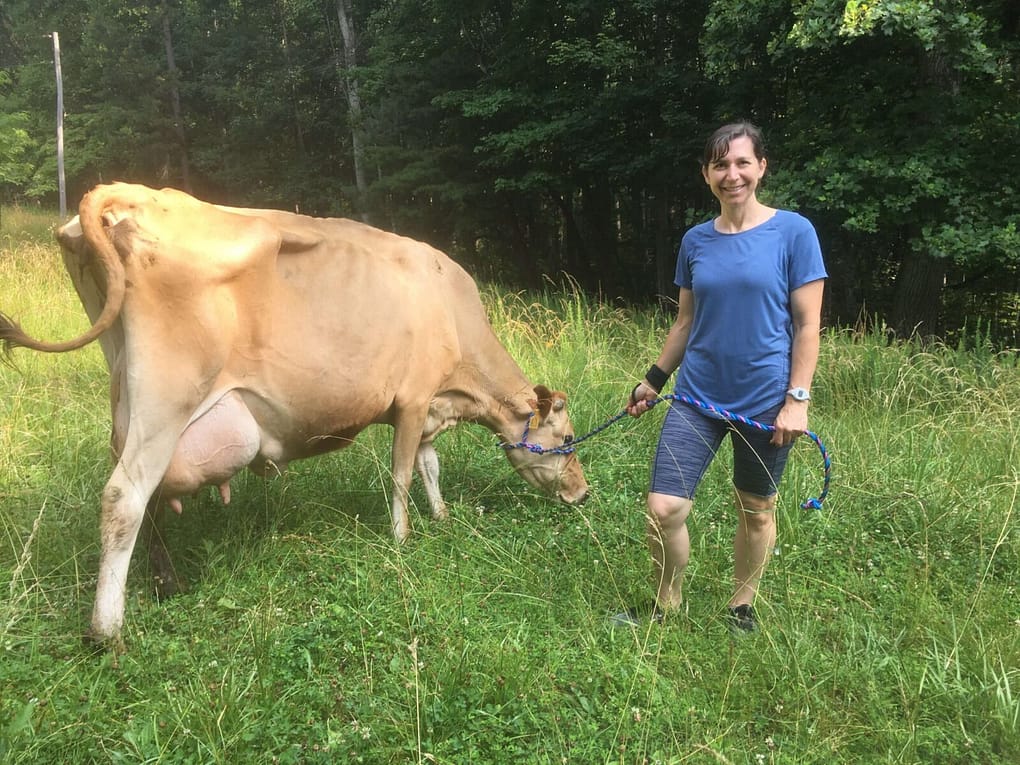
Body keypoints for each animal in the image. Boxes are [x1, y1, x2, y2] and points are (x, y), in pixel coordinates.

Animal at [0, 182, 588, 649]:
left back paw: (168, 585)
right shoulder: (414, 398)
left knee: (143, 496)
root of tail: (126, 192)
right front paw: (401, 539)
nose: (582, 493)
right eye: (566, 435)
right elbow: (402, 473)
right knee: (125, 496)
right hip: (167, 396)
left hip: (126, 393)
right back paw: (108, 632)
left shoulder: (427, 409)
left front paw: (441, 517)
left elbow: (429, 465)